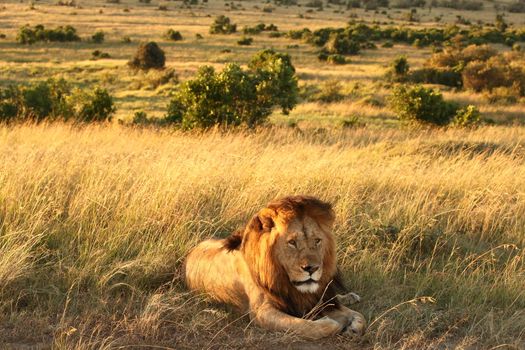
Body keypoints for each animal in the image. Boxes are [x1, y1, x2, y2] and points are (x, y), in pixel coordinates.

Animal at [183, 194, 364, 340]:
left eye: (317, 241)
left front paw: (353, 326)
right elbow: (304, 325)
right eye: (292, 242)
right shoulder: (262, 312)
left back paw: (350, 296)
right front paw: (333, 323)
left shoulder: (315, 299)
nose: (312, 268)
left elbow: (360, 317)